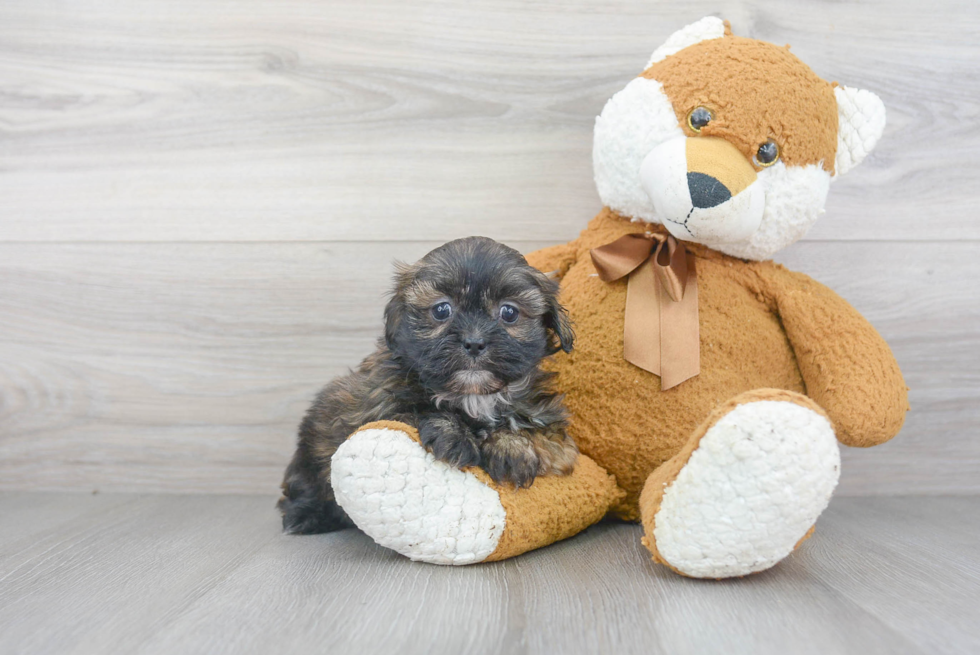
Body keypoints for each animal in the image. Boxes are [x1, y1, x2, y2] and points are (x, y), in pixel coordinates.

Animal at [278, 238, 576, 536]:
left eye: (509, 312)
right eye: (441, 310)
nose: (474, 342)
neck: (473, 397)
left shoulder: (552, 429)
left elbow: (538, 434)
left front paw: (512, 448)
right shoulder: (372, 408)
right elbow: (415, 411)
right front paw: (453, 435)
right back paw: (306, 516)